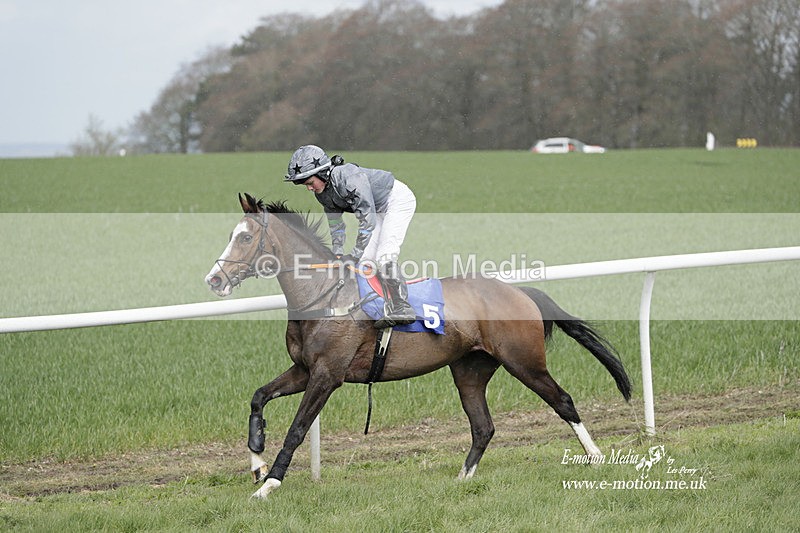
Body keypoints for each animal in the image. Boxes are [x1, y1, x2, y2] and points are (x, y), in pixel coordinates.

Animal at [205, 193, 631, 499]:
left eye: (245, 237)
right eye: (229, 235)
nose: (214, 280)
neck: (324, 294)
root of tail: (520, 292)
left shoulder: (327, 374)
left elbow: (297, 428)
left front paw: (269, 484)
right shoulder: (304, 370)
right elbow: (258, 397)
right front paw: (256, 461)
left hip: (524, 362)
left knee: (563, 401)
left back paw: (595, 457)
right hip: (469, 371)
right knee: (483, 426)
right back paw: (462, 479)